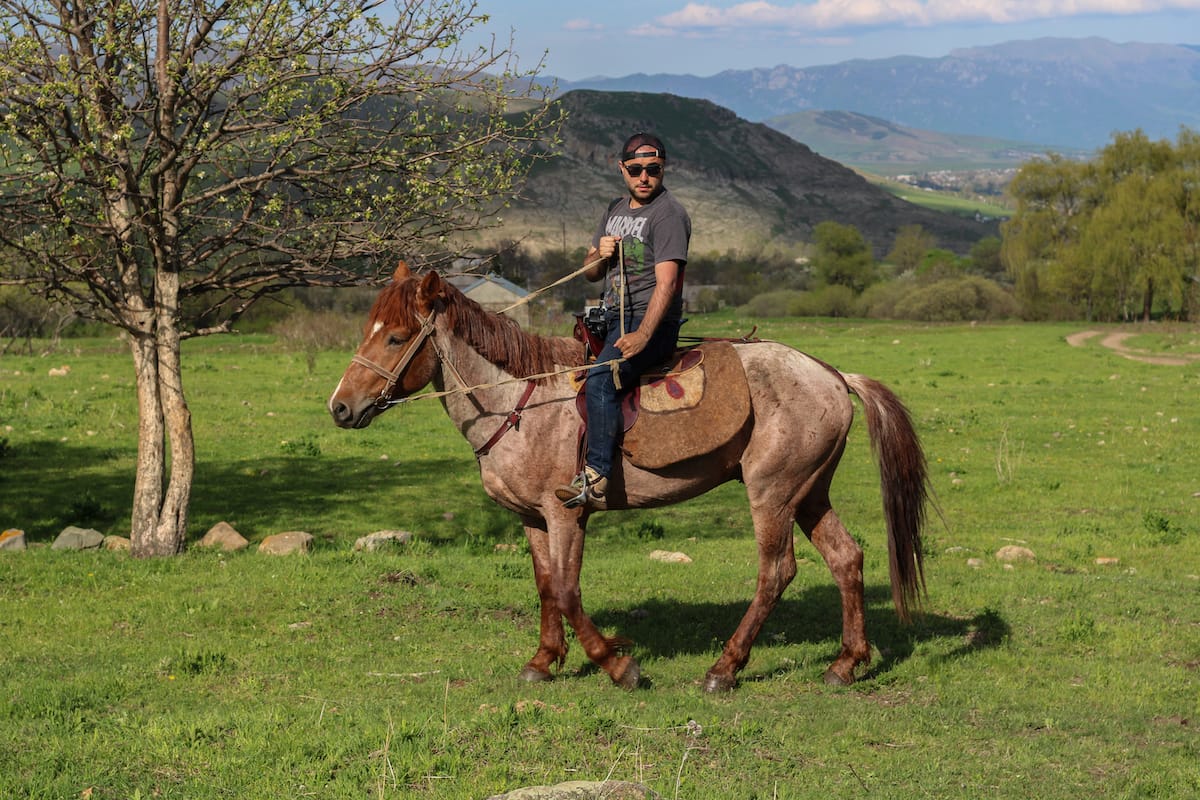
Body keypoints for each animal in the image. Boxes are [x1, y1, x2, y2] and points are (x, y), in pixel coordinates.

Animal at [331, 263, 936, 695]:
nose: (340, 408)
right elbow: (546, 587)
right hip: (809, 492)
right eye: (368, 331)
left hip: (774, 492)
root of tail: (831, 374)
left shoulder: (566, 513)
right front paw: (544, 660)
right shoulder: (532, 518)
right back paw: (845, 664)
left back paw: (725, 668)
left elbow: (568, 591)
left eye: (396, 338)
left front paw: (618, 665)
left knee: (777, 571)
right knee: (846, 558)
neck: (521, 401)